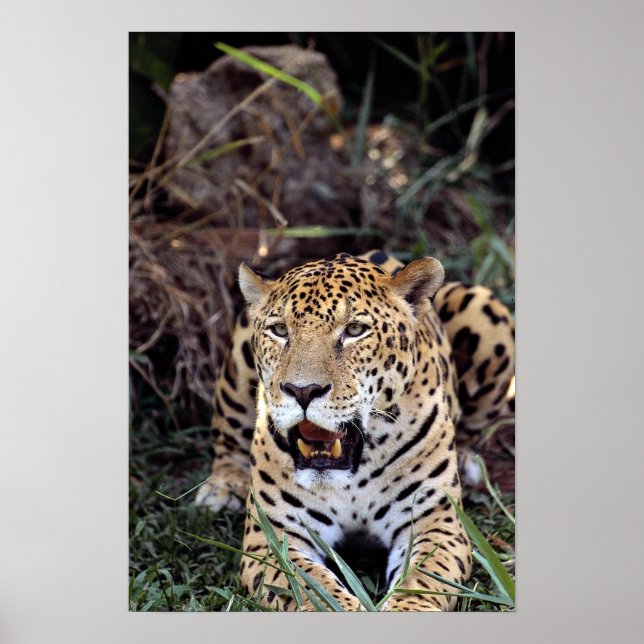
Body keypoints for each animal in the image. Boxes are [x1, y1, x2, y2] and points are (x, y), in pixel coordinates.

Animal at [196, 250, 515, 611]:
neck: (351, 476)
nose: (302, 391)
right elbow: (311, 587)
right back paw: (222, 487)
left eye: (355, 330)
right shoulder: (273, 534)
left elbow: (422, 582)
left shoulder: (435, 522)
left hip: (485, 308)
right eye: (279, 330)